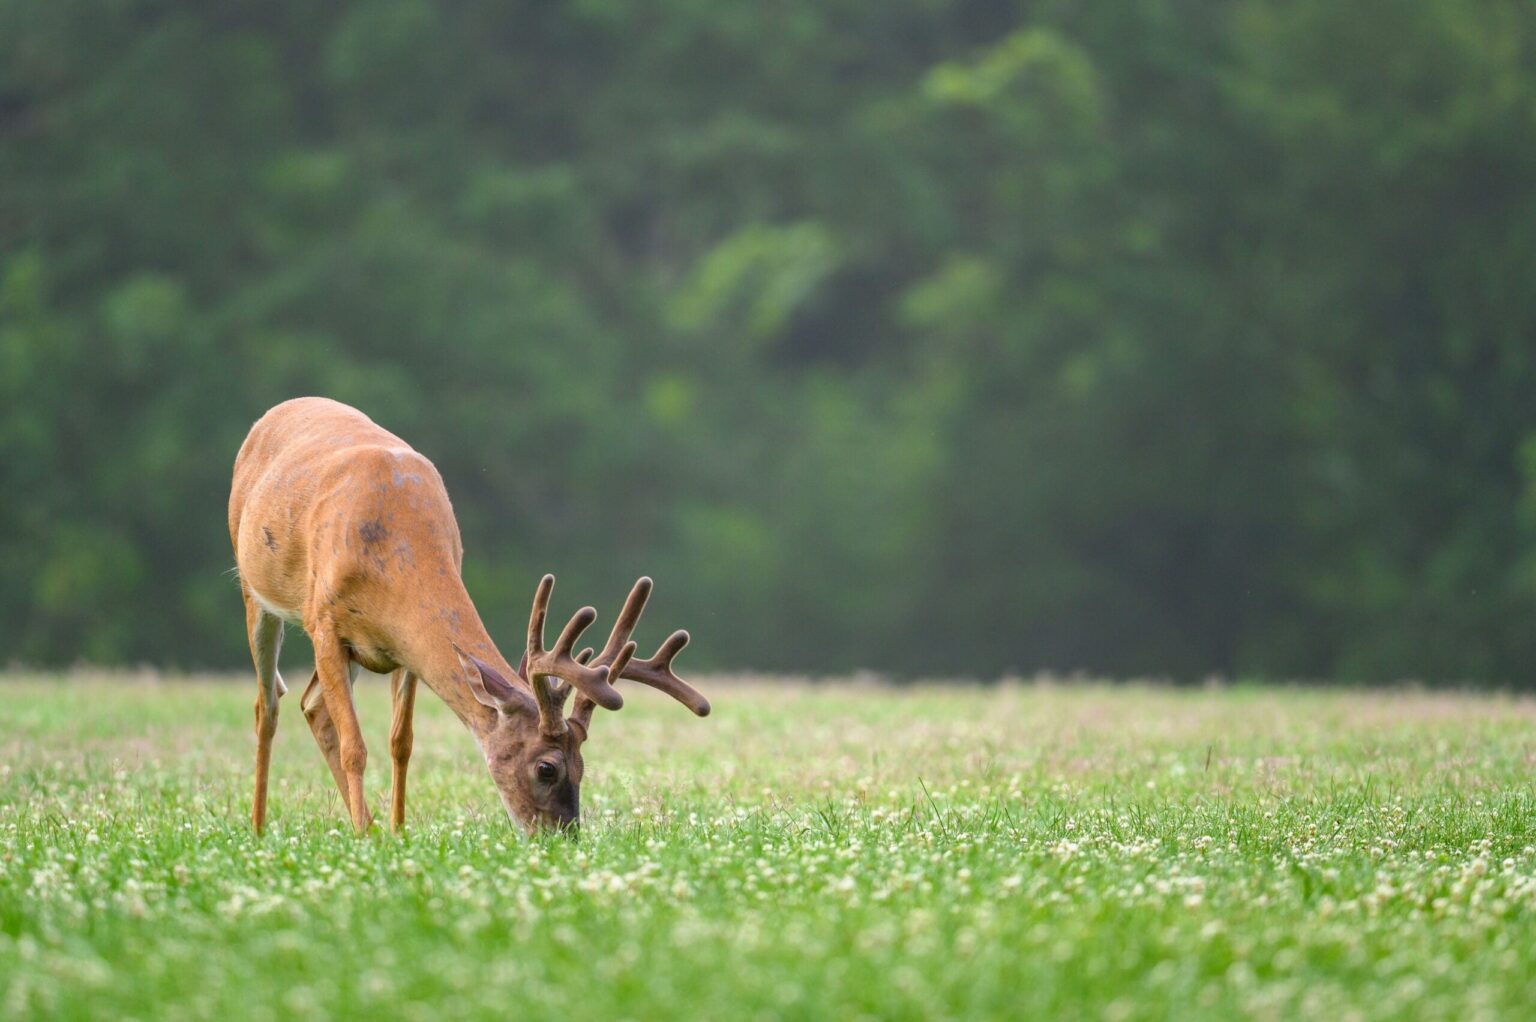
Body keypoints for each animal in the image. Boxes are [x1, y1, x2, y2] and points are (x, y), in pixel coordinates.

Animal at [227, 396, 710, 835]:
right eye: (547, 767)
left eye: (583, 765)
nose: (564, 835)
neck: (390, 555)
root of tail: (274, 413)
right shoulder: (324, 623)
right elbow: (355, 747)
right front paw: (367, 836)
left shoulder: (403, 649)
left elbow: (401, 742)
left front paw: (397, 832)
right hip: (254, 591)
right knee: (267, 706)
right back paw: (260, 827)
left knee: (312, 705)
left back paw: (364, 823)